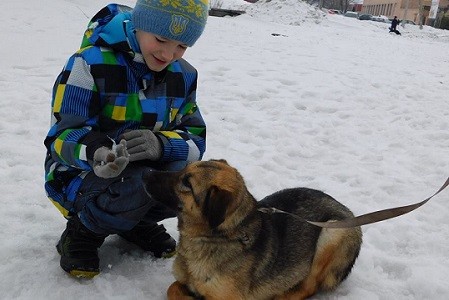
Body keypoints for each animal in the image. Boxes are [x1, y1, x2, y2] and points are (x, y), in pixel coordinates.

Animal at [144, 159, 360, 300]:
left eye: (187, 183)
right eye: (183, 169)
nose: (146, 173)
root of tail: (347, 210)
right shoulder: (182, 283)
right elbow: (172, 288)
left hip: (332, 233)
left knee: (309, 287)